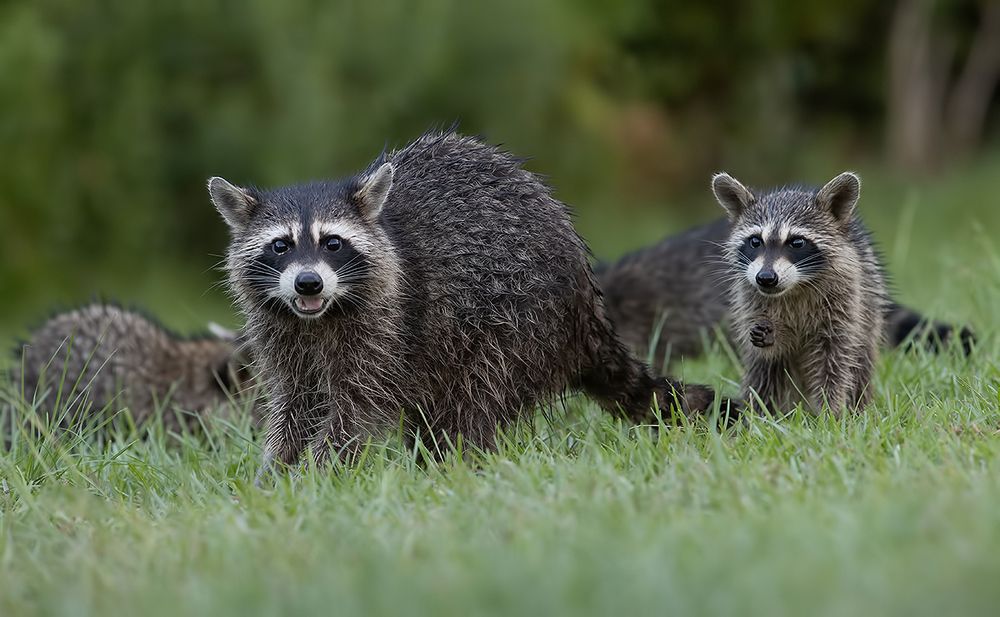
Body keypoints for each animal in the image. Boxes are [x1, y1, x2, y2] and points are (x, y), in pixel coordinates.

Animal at [209, 130, 719, 471]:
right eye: (280, 245)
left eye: (332, 243)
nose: (308, 284)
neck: (320, 318)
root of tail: (586, 301)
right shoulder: (281, 335)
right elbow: (294, 405)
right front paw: (277, 471)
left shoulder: (387, 328)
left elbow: (356, 408)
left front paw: (319, 469)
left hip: (520, 321)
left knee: (477, 394)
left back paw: (454, 463)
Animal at [713, 171, 890, 414]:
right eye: (755, 241)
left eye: (797, 242)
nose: (765, 278)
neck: (796, 286)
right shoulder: (749, 295)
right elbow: (769, 354)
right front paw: (773, 338)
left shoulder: (846, 298)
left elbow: (834, 360)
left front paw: (830, 412)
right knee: (762, 372)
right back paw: (758, 412)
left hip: (870, 314)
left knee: (860, 362)